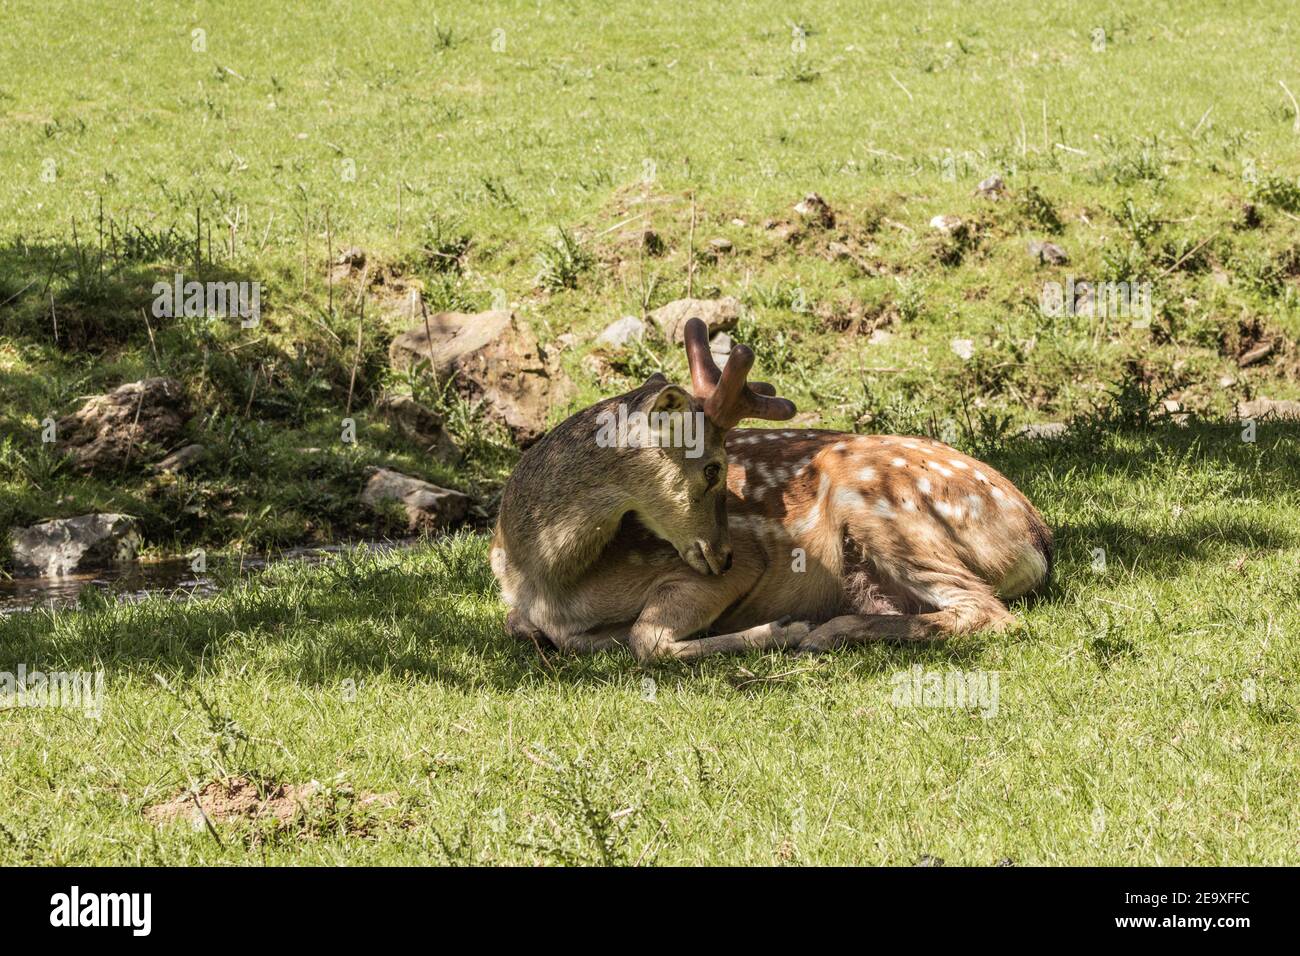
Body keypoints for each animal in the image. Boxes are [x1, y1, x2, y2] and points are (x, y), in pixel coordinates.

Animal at [491, 317, 1050, 660]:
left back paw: (823, 631)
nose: (723, 555)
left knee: (988, 612)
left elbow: (645, 640)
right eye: (714, 467)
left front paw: (780, 629)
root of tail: (1037, 538)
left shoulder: (721, 571)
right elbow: (537, 629)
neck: (546, 577)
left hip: (886, 508)